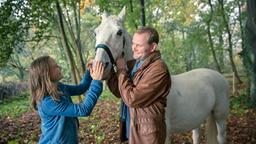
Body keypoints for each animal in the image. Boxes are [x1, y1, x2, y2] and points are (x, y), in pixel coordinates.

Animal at [93, 7, 229, 144]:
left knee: (221, 136)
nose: (100, 66)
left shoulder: (166, 135)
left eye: (119, 32)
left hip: (221, 116)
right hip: (197, 118)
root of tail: (219, 75)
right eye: (96, 32)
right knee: (196, 135)